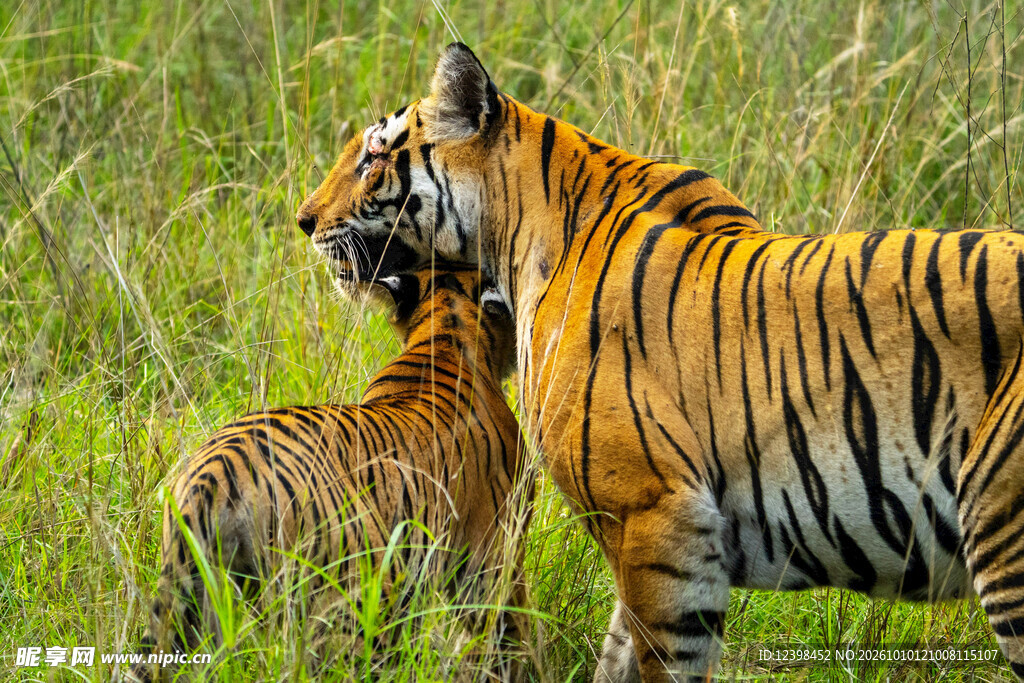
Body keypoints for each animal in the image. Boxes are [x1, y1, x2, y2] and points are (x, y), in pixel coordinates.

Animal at [128, 262, 530, 682]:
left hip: (198, 604)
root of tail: (214, 476)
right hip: (358, 595)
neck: (445, 333)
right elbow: (511, 638)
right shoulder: (493, 556)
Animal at [295, 42, 1024, 681]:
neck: (518, 234)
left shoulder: (655, 513)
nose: (303, 220)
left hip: (1002, 531)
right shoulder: (656, 534)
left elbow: (660, 661)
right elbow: (617, 653)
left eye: (373, 154)